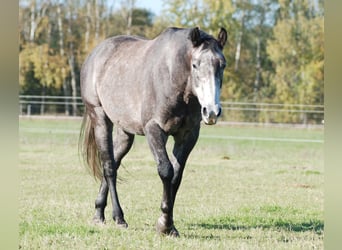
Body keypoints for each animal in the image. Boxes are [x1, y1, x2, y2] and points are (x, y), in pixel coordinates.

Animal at [79, 26, 227, 236]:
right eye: (195, 65)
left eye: (222, 65)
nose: (212, 112)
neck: (173, 78)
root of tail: (95, 54)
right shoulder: (154, 129)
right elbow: (165, 171)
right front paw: (164, 224)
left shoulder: (188, 135)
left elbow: (176, 177)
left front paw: (168, 224)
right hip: (100, 118)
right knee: (108, 167)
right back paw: (118, 218)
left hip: (125, 132)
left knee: (114, 162)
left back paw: (99, 212)